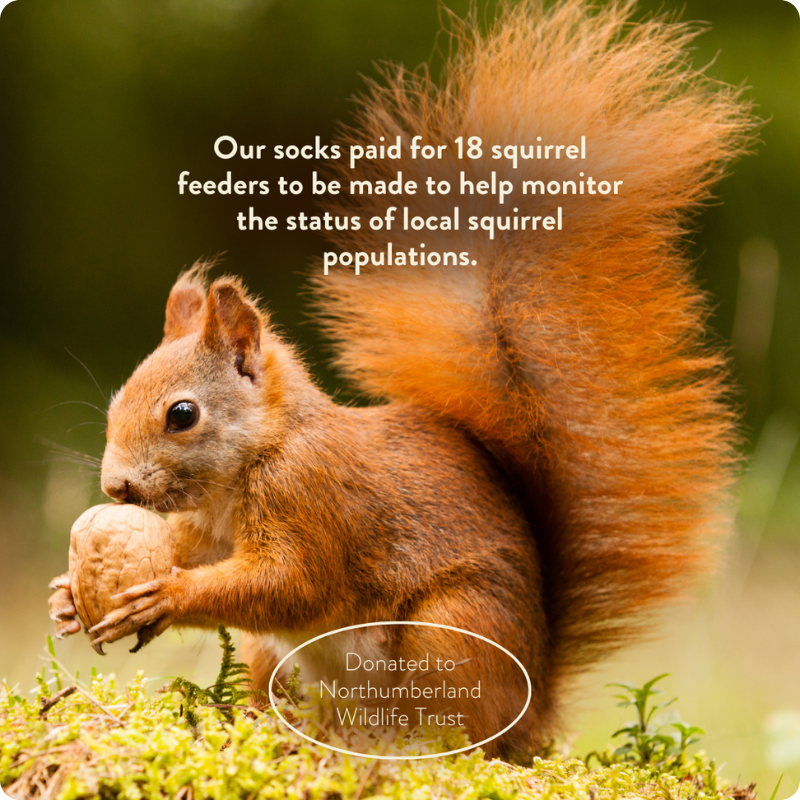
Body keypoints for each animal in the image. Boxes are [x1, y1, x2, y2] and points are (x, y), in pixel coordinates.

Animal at [48, 0, 755, 760]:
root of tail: (535, 707)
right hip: (281, 659)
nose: (115, 487)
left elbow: (289, 584)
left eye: (182, 415)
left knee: (461, 734)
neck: (252, 463)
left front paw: (167, 596)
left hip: (452, 634)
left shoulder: (314, 500)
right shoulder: (208, 530)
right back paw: (281, 727)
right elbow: (194, 553)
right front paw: (67, 594)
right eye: (117, 401)